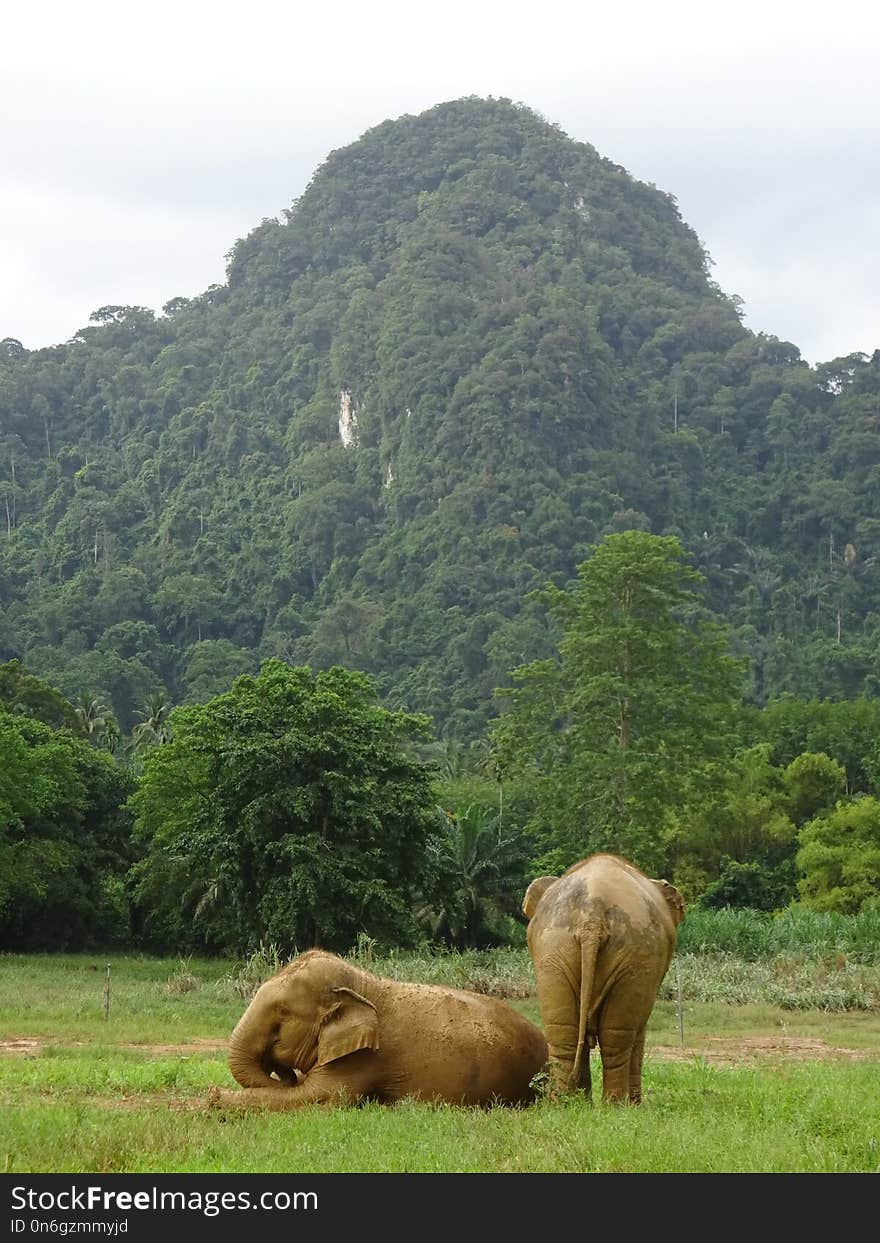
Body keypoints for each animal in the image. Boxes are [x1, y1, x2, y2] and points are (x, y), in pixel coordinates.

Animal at [212, 944, 541, 1113]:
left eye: (282, 1012)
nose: (283, 1072)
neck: (363, 983)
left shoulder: (362, 1058)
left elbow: (320, 1096)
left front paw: (214, 1098)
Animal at [522, 855, 686, 1108]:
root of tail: (592, 917)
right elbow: (639, 1031)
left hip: (553, 950)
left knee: (564, 1034)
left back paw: (564, 1105)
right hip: (633, 957)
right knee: (617, 1036)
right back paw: (616, 1107)